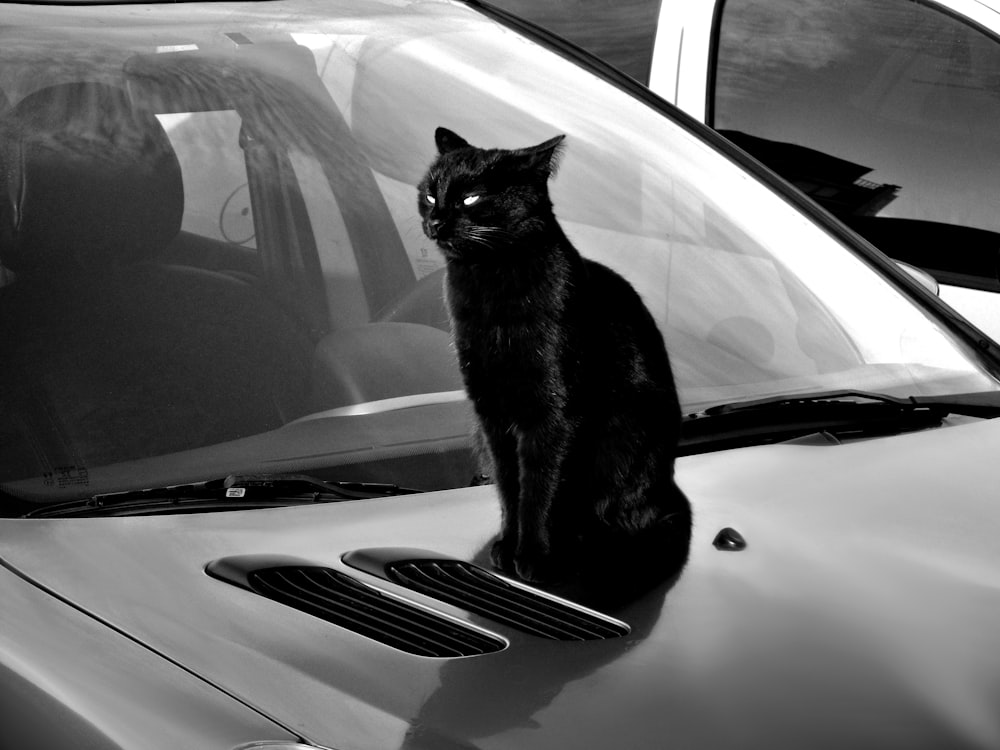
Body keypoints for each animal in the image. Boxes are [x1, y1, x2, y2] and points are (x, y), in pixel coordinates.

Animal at [416, 126, 688, 592]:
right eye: (431, 194)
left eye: (470, 198)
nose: (434, 221)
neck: (490, 288)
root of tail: (671, 492)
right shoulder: (491, 415)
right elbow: (511, 488)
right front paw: (509, 546)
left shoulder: (557, 414)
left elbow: (542, 489)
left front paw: (535, 557)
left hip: (625, 441)